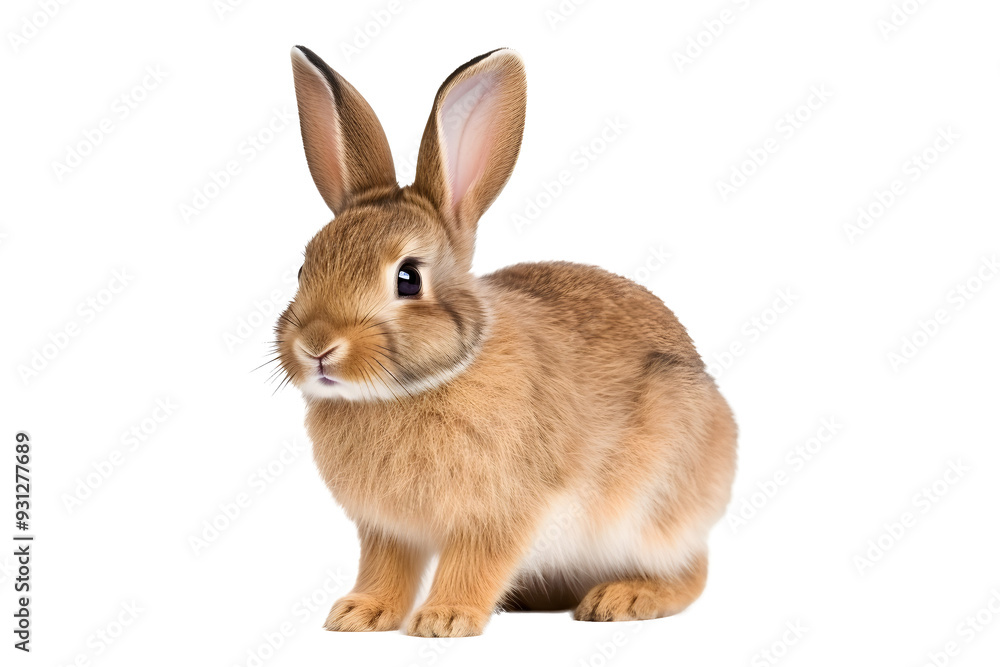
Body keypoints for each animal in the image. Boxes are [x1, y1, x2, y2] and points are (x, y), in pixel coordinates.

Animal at [274, 45, 737, 638]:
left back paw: (622, 599)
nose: (317, 346)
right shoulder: (388, 531)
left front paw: (445, 619)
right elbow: (386, 570)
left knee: (691, 572)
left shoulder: (498, 515)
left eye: (408, 278)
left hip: (655, 506)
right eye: (303, 267)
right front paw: (359, 614)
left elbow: (474, 563)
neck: (414, 387)